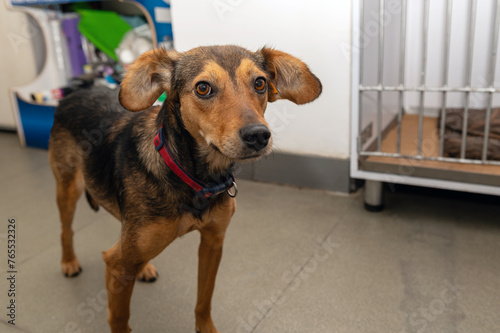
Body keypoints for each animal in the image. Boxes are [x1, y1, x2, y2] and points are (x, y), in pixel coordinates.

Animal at [48, 44, 322, 332]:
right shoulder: (118, 265)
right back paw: (69, 262)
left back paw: (143, 267)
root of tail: (75, 93)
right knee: (66, 230)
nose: (258, 135)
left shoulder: (213, 242)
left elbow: (204, 300)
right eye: (203, 88)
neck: (195, 177)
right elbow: (120, 318)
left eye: (260, 83)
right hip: (68, 189)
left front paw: (206, 327)